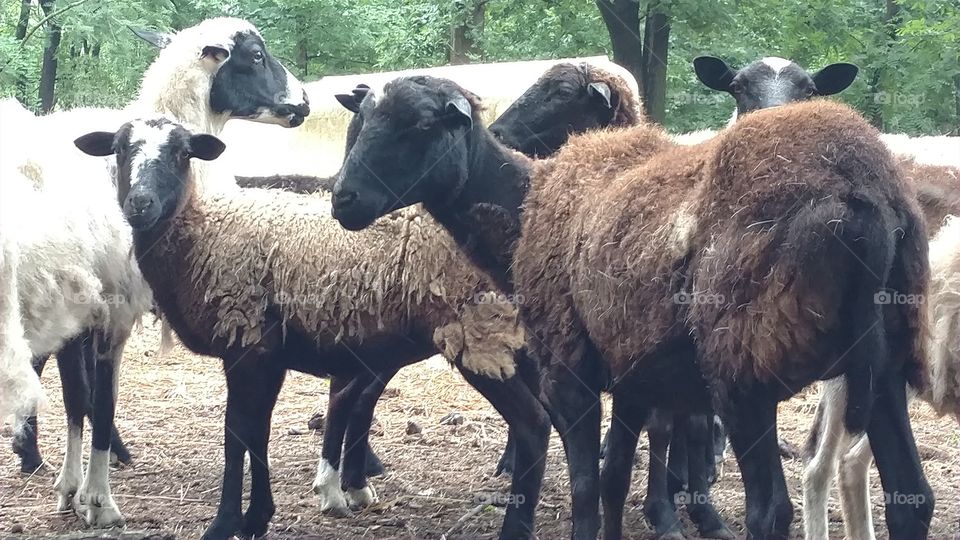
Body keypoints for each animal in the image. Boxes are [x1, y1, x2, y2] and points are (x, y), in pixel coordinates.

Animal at [4, 17, 310, 527]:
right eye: (256, 54)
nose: (304, 102)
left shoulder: (79, 312)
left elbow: (77, 399)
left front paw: (71, 489)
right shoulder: (113, 309)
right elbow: (100, 401)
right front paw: (99, 500)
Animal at [74, 116, 550, 540]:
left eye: (181, 153)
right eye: (119, 150)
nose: (140, 204)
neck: (203, 233)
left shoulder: (245, 346)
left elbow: (236, 433)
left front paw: (224, 524)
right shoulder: (268, 355)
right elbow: (257, 432)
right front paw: (257, 518)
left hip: (481, 334)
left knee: (534, 425)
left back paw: (516, 528)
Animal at [332, 76, 932, 540]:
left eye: (420, 124)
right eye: (358, 124)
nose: (343, 200)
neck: (526, 205)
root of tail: (864, 195)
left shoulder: (568, 372)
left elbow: (586, 487)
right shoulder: (633, 376)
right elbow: (615, 477)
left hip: (744, 370)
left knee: (769, 512)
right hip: (888, 365)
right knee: (913, 498)